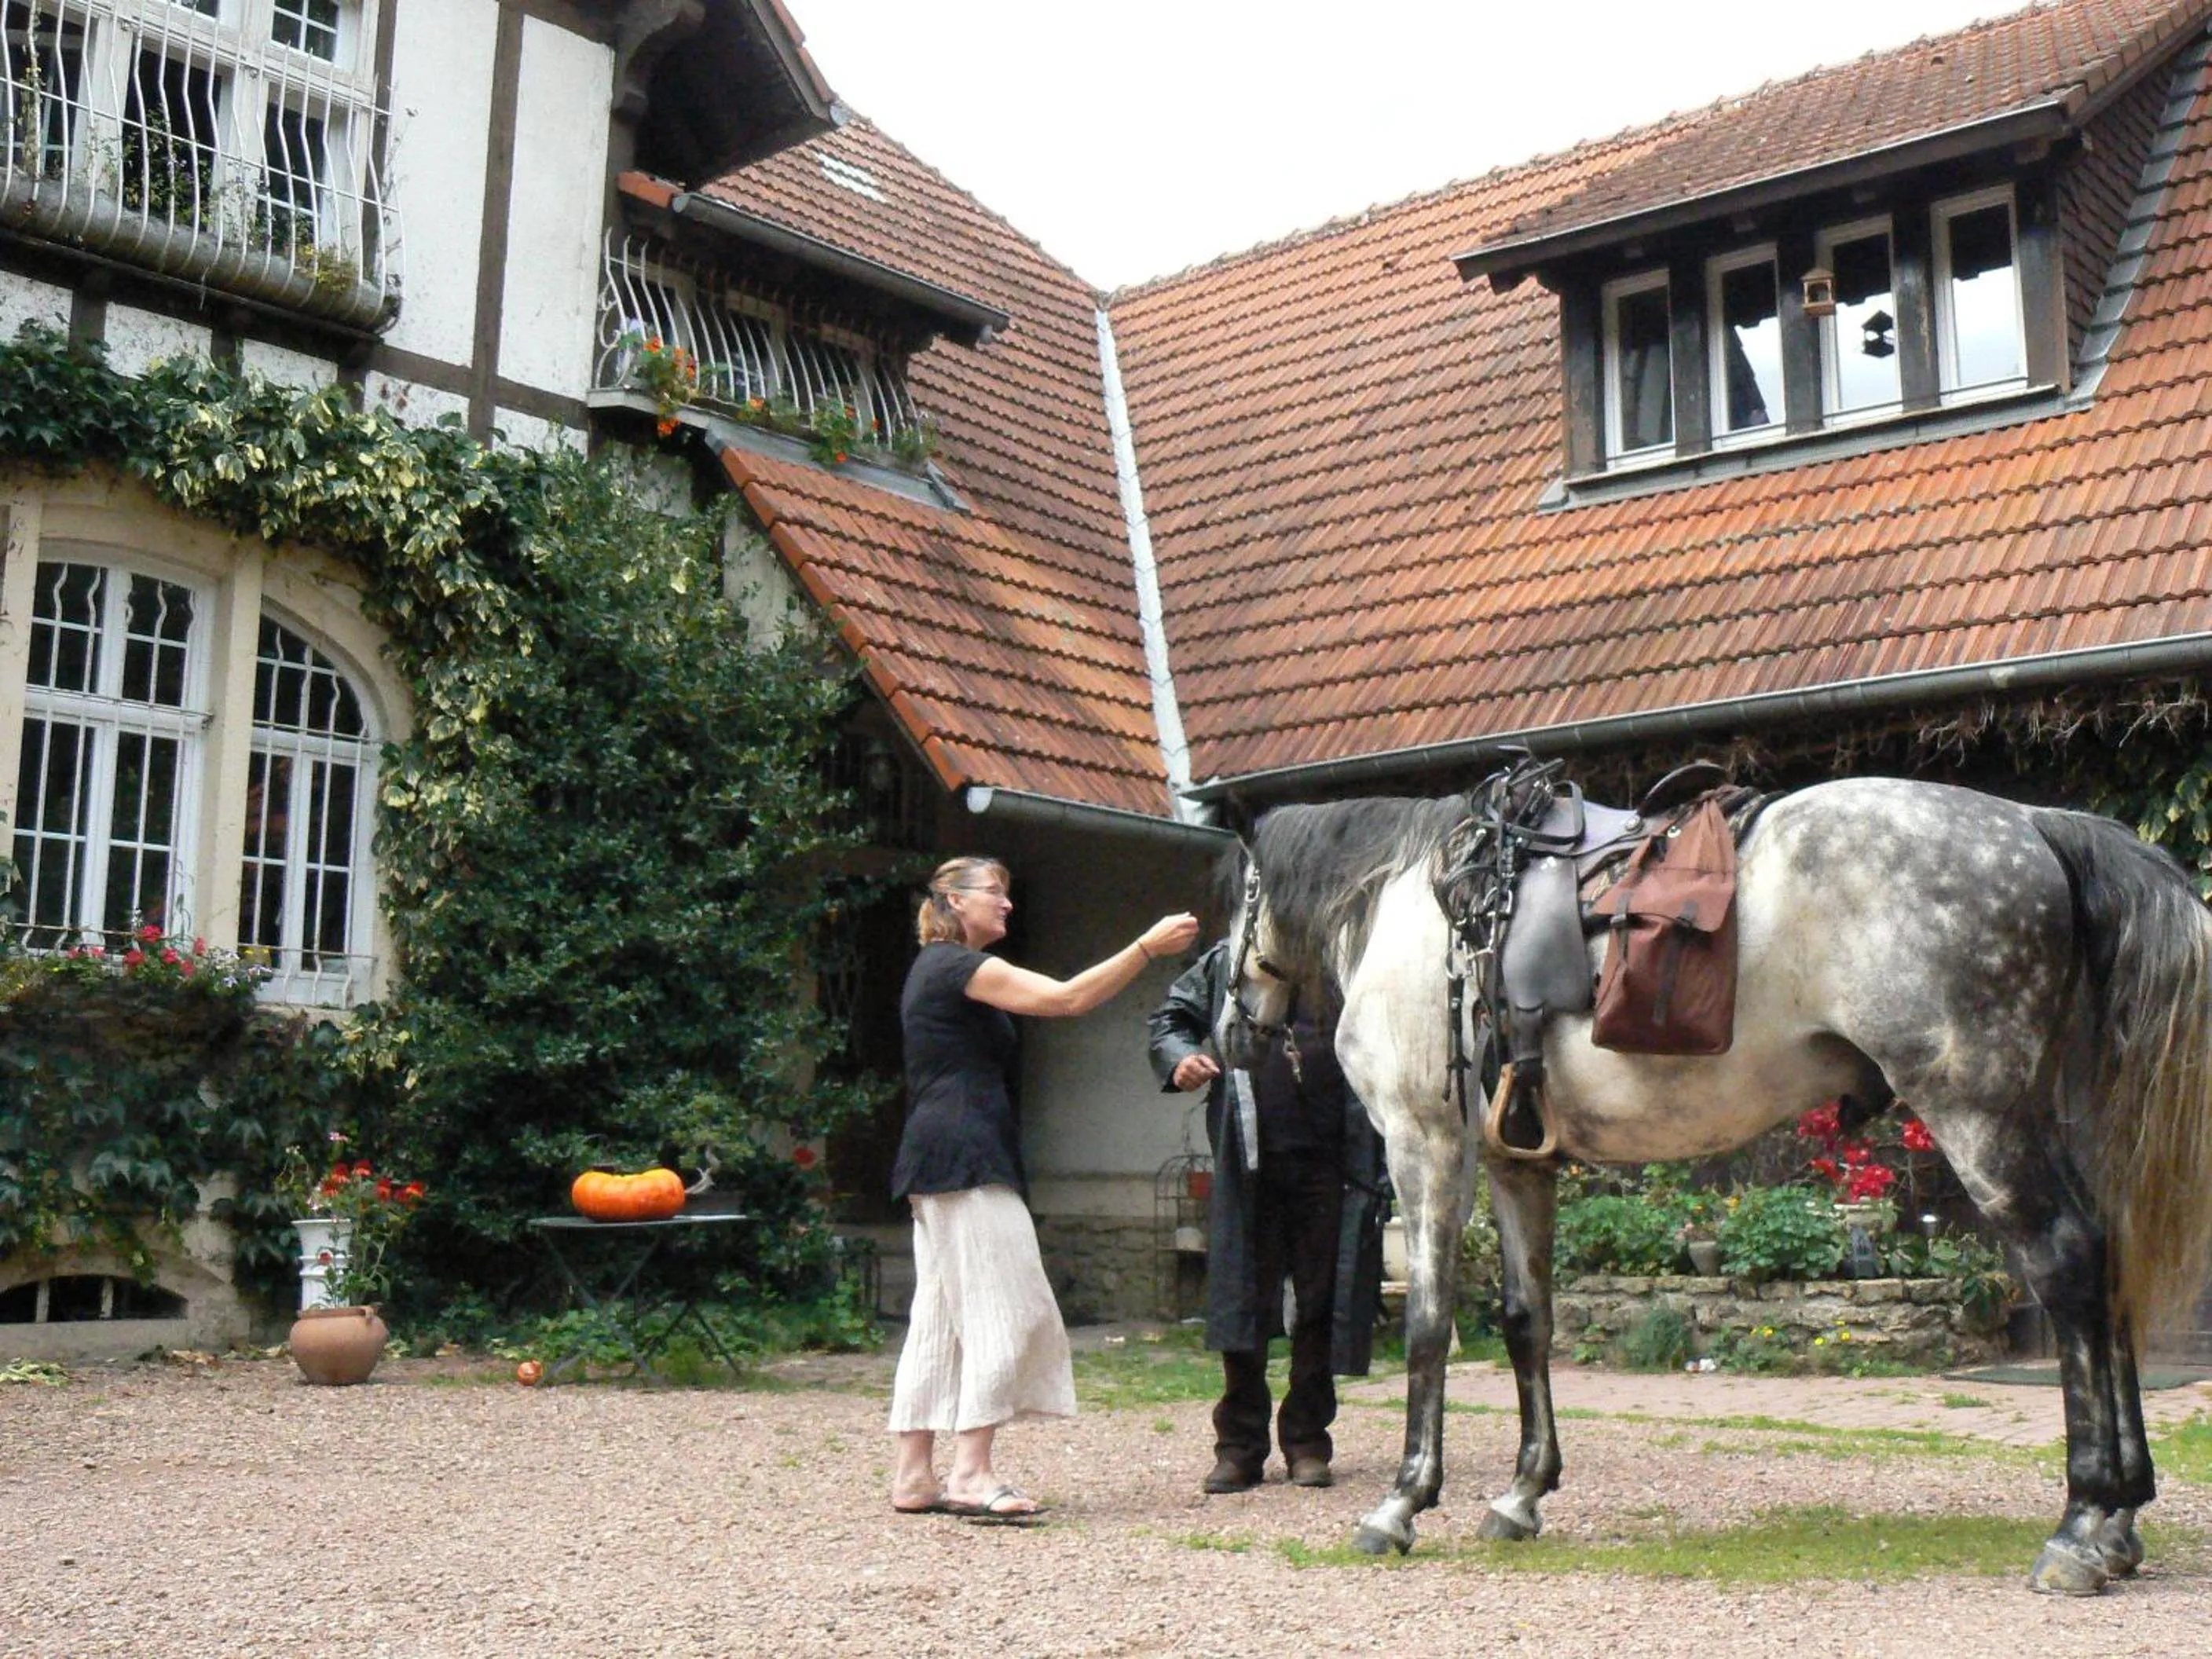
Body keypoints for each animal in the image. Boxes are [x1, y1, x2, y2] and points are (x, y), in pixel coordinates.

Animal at [1219, 775, 2212, 1594]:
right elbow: (1525, 1321)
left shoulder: (1426, 1146)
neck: (1432, 906)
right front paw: (1521, 1494)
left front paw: (1400, 1504)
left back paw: (2081, 1525)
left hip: (1979, 1118)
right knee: (2104, 1264)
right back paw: (2119, 1521)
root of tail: (2034, 824)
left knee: (2067, 1265)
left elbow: (1427, 1327)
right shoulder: (1517, 1161)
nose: (1231, 1028)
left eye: (1237, 896)